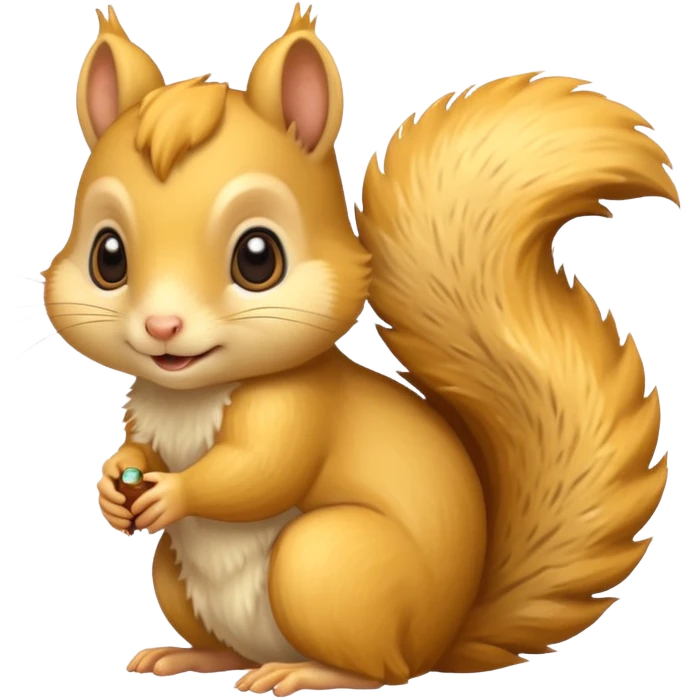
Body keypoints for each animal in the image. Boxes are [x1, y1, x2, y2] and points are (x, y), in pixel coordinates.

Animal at [47, 3, 677, 692]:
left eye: (258, 258)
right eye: (107, 256)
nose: (162, 327)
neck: (192, 394)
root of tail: (441, 639)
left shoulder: (298, 408)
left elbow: (259, 472)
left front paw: (174, 493)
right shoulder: (147, 410)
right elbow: (140, 448)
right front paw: (115, 484)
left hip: (325, 563)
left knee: (380, 671)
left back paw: (306, 672)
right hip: (178, 576)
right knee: (231, 644)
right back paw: (191, 657)